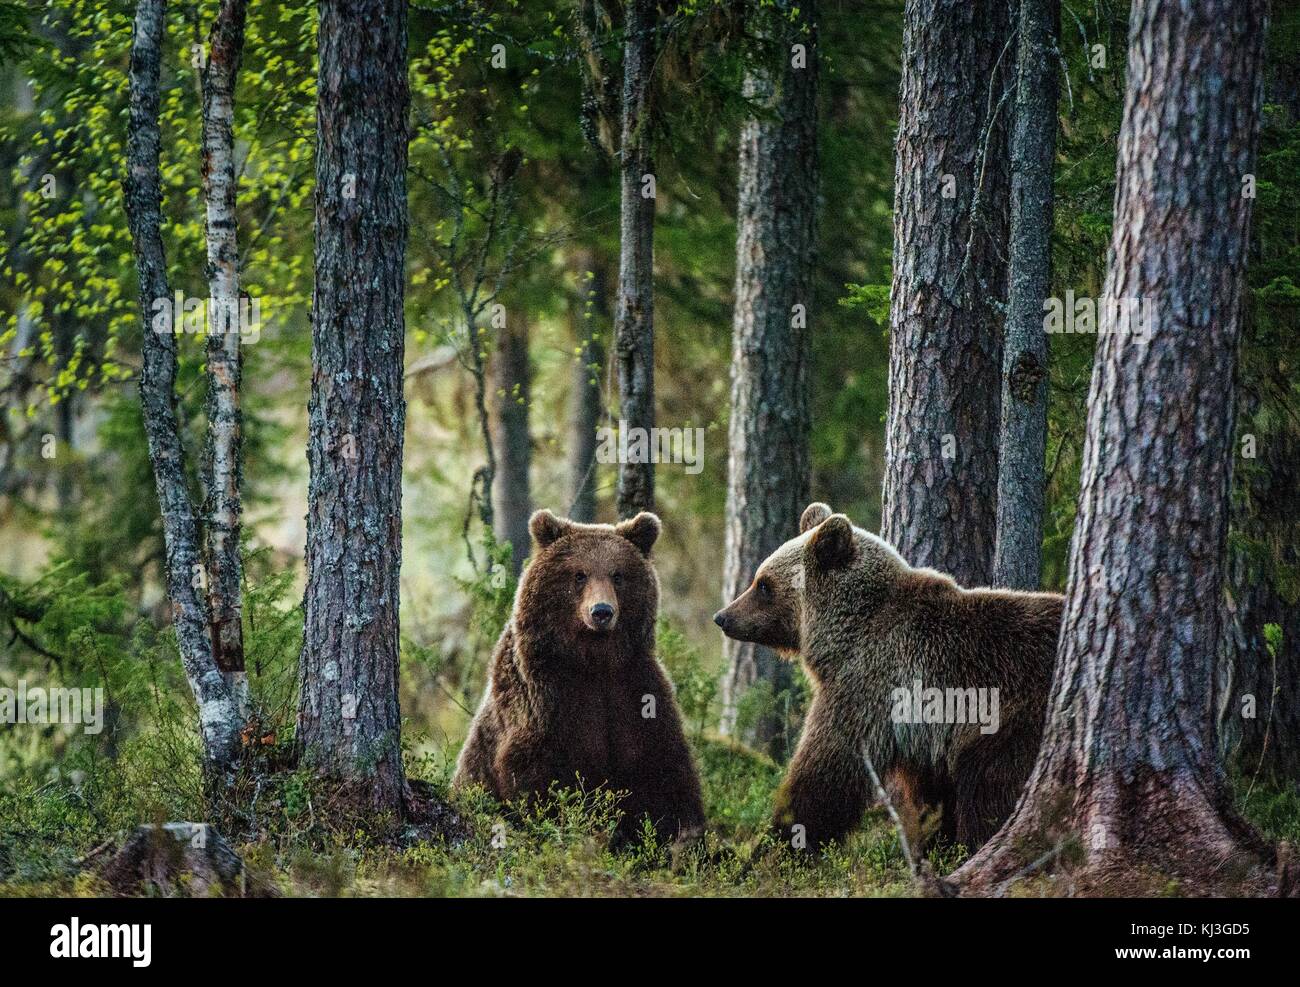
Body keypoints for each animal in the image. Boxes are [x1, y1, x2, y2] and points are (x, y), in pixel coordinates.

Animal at [453, 508, 705, 846]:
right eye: (579, 574)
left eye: (617, 575)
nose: (601, 611)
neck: (592, 661)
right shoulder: (545, 698)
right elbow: (542, 778)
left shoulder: (635, 688)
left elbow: (663, 768)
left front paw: (685, 836)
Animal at [713, 502, 1062, 851]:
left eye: (763, 584)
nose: (723, 617)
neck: (844, 633)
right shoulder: (919, 735)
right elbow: (930, 793)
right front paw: (934, 840)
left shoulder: (868, 684)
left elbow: (828, 770)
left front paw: (779, 842)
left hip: (1011, 717)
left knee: (989, 785)